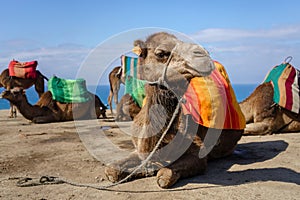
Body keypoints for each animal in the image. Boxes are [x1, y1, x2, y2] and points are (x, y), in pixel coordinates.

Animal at [104, 32, 245, 188]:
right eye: (161, 53)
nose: (203, 54)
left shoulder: (198, 154)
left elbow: (164, 175)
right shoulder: (138, 149)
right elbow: (111, 170)